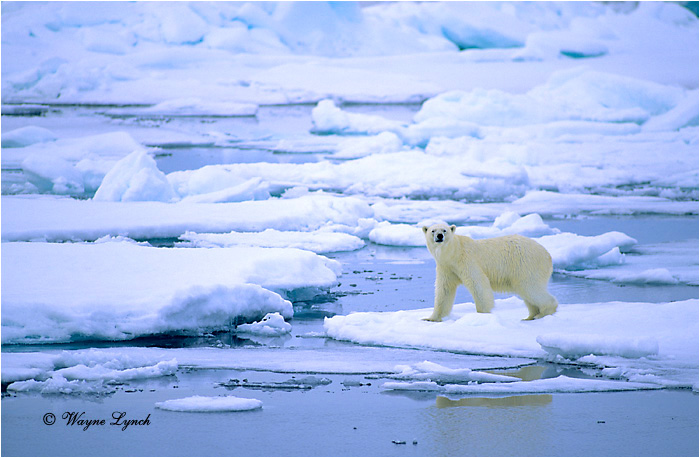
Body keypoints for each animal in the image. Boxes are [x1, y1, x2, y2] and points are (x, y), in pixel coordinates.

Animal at [422, 222, 558, 322]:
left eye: (445, 230)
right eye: (432, 230)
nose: (439, 236)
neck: (454, 253)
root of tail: (547, 254)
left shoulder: (467, 261)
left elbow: (478, 284)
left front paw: (482, 314)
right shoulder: (446, 267)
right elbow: (444, 290)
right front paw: (430, 318)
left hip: (526, 264)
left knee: (530, 287)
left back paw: (543, 313)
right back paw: (529, 316)